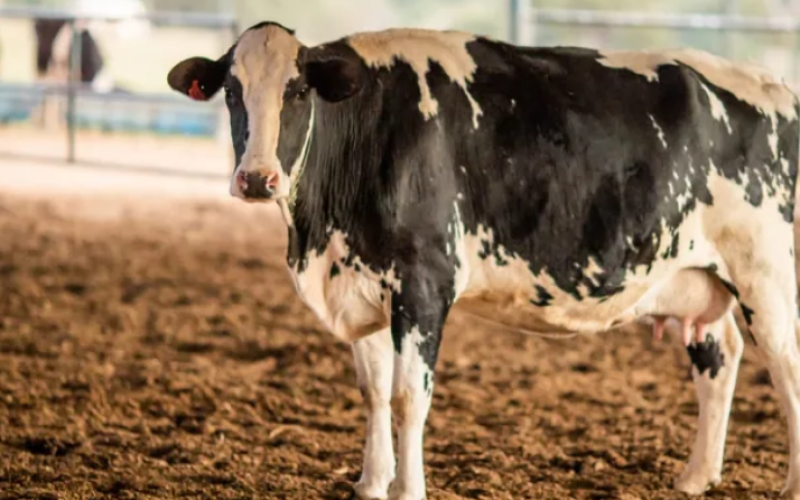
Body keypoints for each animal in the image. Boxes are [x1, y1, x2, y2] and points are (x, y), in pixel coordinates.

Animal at [167, 21, 800, 500]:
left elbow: (408, 398)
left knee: (786, 365)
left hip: (765, 272)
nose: (256, 178)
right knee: (720, 358)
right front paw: (371, 485)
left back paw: (788, 485)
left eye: (298, 91)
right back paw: (696, 476)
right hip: (697, 274)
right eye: (231, 92)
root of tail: (775, 84)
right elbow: (373, 392)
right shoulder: (361, 284)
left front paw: (407, 490)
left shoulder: (423, 285)